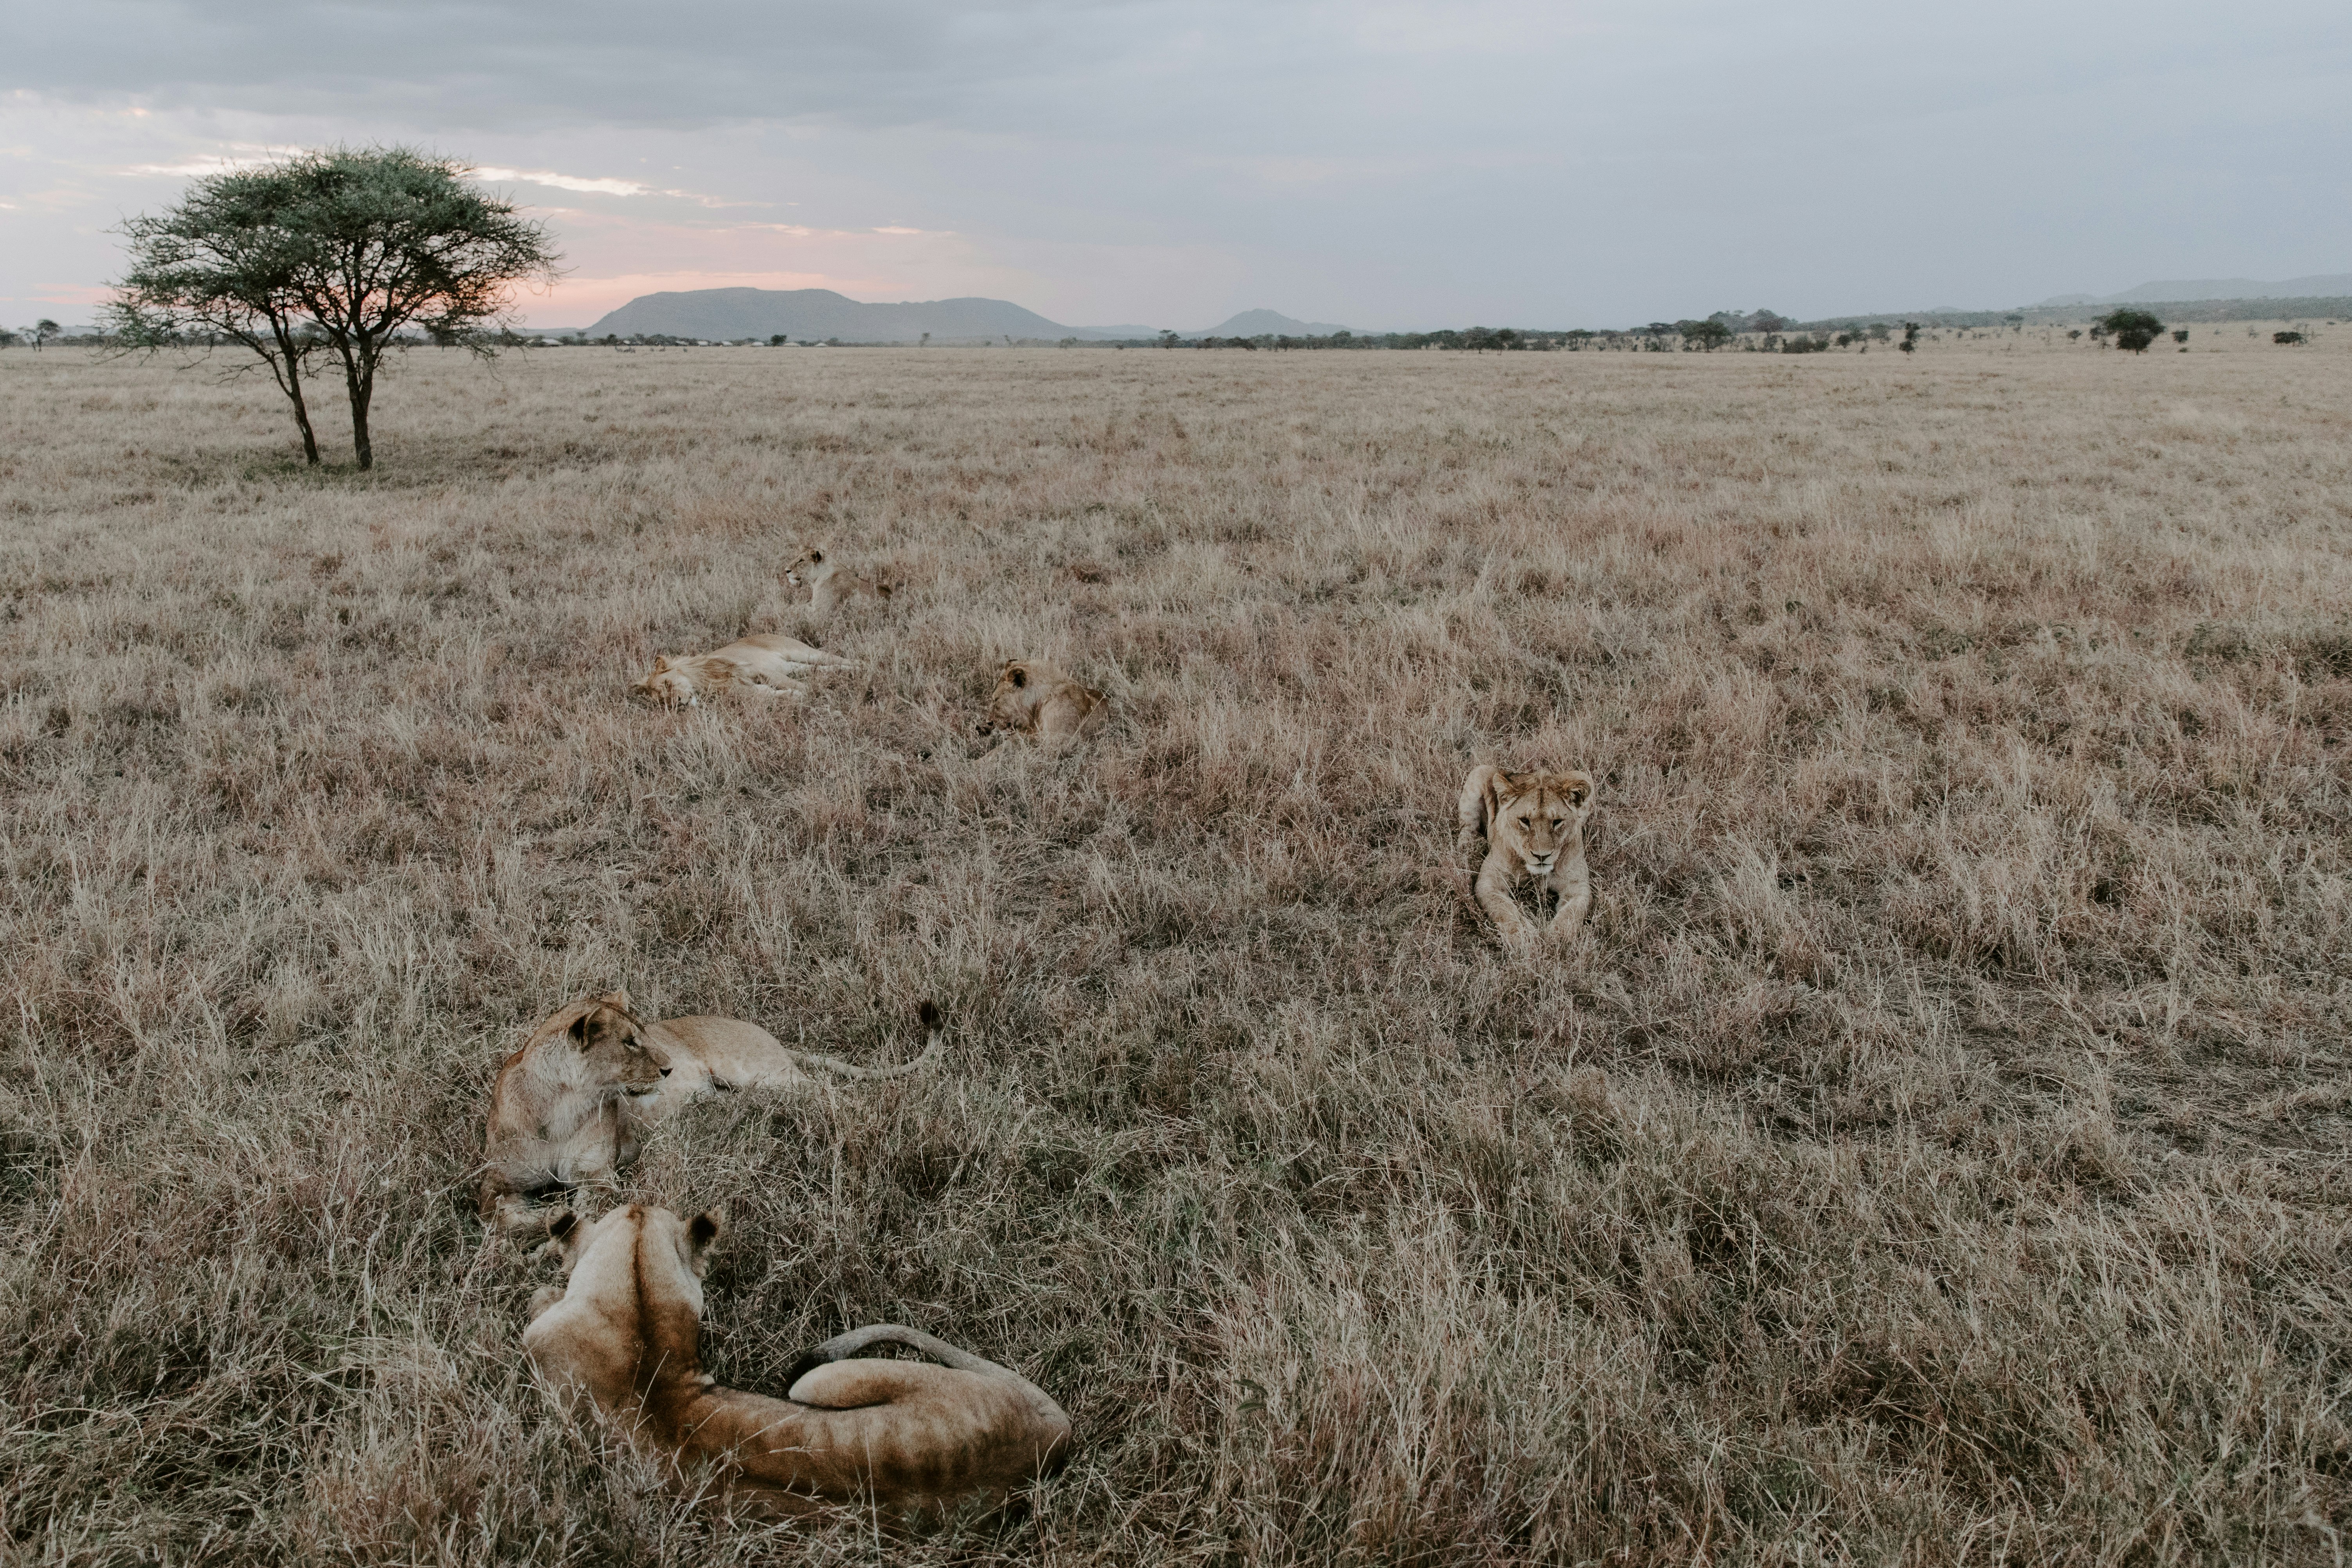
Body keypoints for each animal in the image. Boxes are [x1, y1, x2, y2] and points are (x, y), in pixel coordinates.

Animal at [480, 991, 942, 1238]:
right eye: (630, 1042)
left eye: (643, 1035)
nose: (669, 1068)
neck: (563, 1105)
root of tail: (767, 1034)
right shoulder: (496, 1184)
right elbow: (502, 1219)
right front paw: (545, 1220)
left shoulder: (599, 1176)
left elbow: (580, 1209)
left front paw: (557, 1222)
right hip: (737, 1095)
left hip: (764, 1075)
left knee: (828, 1093)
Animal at [632, 634, 855, 709]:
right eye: (663, 701)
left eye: (668, 683)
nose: (678, 703)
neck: (703, 683)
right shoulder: (742, 690)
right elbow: (769, 694)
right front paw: (796, 697)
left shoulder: (759, 670)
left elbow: (799, 686)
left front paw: (815, 696)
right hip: (795, 665)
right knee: (827, 668)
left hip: (803, 652)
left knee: (839, 659)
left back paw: (861, 667)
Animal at [1455, 765, 1595, 944]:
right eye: (1525, 821)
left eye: (1557, 822)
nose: (1542, 856)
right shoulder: (1489, 881)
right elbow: (1504, 909)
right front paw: (1525, 937)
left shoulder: (1578, 887)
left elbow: (1571, 914)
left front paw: (1557, 939)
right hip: (1480, 772)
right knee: (1467, 828)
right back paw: (1468, 850)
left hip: (1583, 776)